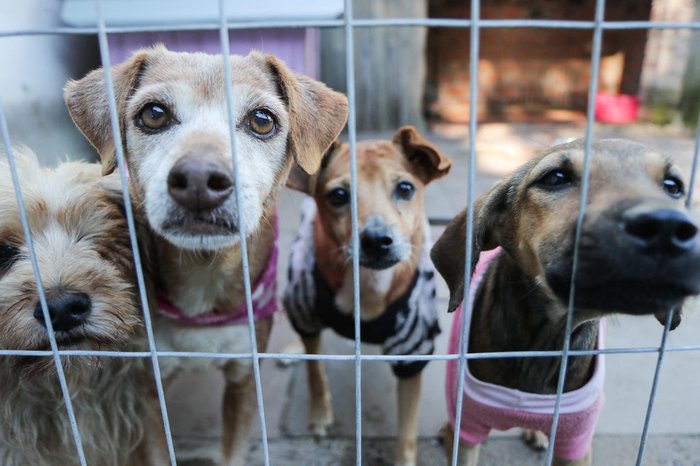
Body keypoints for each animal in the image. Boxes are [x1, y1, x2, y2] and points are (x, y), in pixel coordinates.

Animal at [64, 44, 348, 466]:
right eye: (153, 114)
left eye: (262, 120)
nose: (199, 179)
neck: (204, 276)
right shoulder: (147, 389)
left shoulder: (244, 381)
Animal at [284, 126, 454, 466]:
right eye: (338, 195)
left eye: (405, 188)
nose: (377, 240)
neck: (368, 284)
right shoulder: (306, 313)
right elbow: (315, 373)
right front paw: (320, 415)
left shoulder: (412, 351)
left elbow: (407, 431)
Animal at [432, 139, 700, 466]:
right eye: (555, 178)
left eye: (673, 186)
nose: (666, 227)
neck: (544, 342)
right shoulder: (468, 430)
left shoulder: (575, 441)